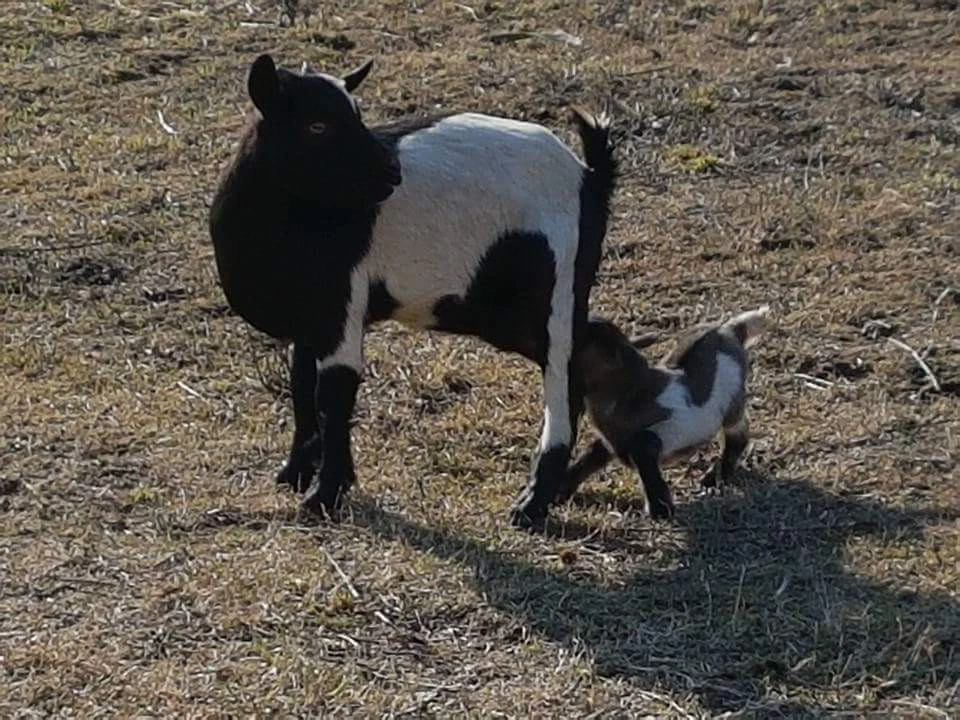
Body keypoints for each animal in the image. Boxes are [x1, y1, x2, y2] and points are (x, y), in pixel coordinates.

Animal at [209, 54, 616, 524]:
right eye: (317, 125)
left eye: (356, 114)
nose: (391, 171)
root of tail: (591, 177)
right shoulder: (310, 318)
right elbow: (301, 387)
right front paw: (295, 473)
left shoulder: (341, 305)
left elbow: (333, 392)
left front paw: (324, 495)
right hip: (508, 314)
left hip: (553, 291)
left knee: (562, 376)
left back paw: (532, 503)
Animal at [556, 308, 772, 516]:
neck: (631, 392)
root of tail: (731, 328)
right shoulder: (613, 440)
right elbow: (592, 453)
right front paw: (560, 492)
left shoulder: (671, 428)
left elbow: (642, 446)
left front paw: (661, 510)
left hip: (731, 406)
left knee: (738, 435)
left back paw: (715, 477)